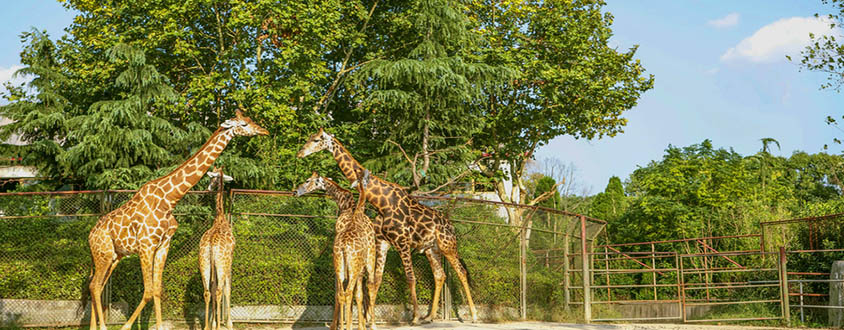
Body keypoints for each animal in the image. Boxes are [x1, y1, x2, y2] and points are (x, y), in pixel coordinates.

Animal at [85, 110, 264, 330]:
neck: (169, 200)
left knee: (96, 285)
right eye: (244, 124)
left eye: (250, 120)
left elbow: (156, 290)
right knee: (95, 285)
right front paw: (126, 326)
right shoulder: (146, 246)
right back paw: (101, 326)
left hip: (113, 256)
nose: (263, 130)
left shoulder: (163, 245)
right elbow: (147, 291)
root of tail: (91, 235)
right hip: (103, 254)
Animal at [296, 171, 378, 330]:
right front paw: (355, 324)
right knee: (352, 291)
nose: (296, 191)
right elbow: (358, 294)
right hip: (354, 265)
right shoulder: (363, 262)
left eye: (308, 180)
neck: (349, 207)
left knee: (346, 293)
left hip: (346, 264)